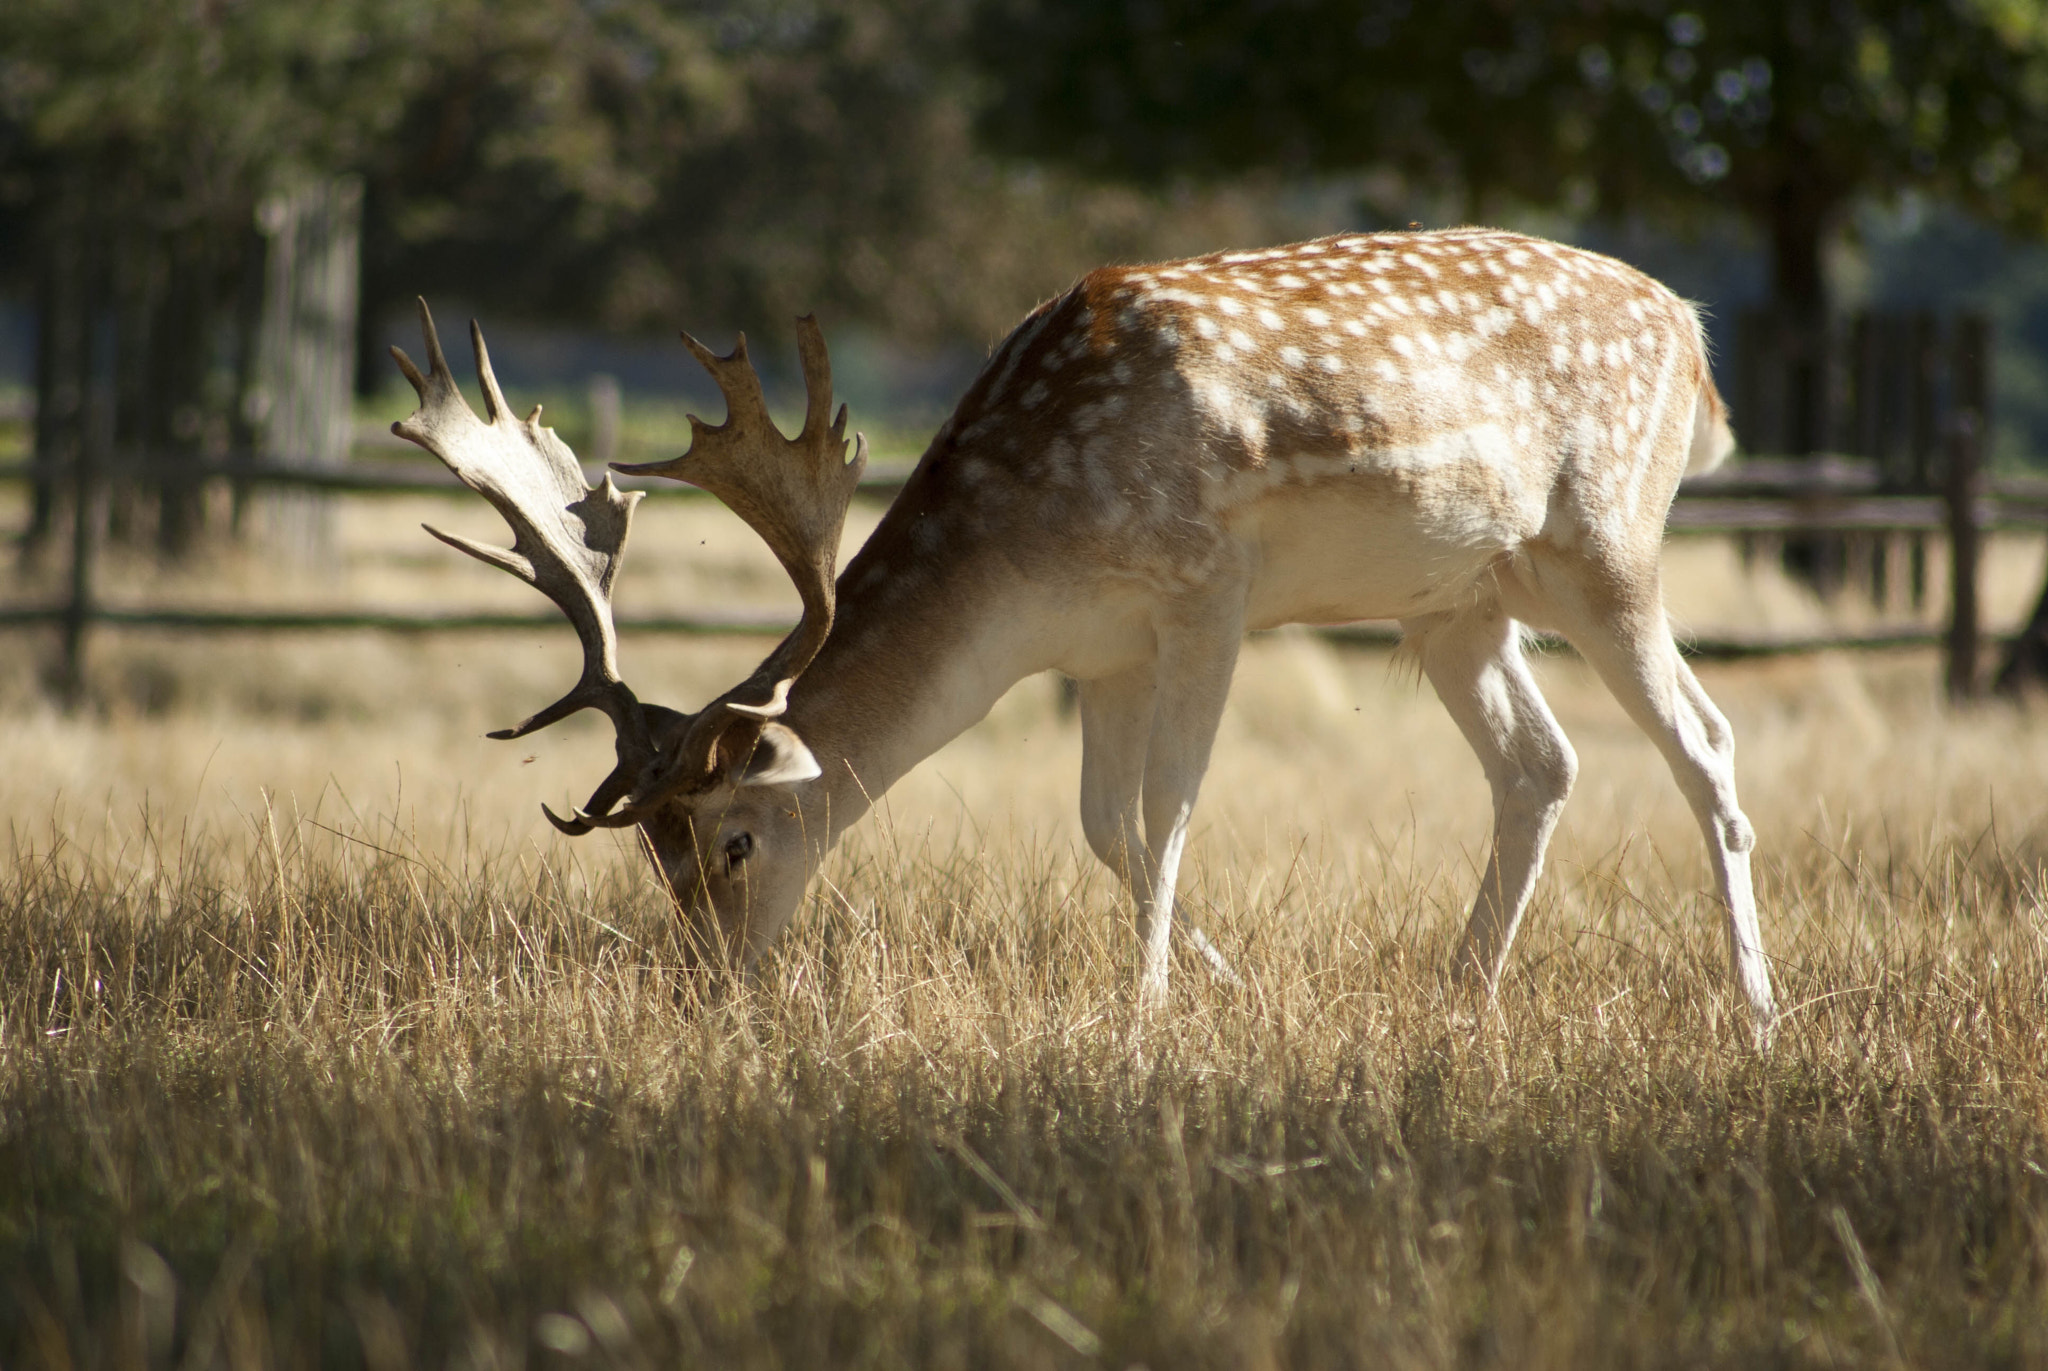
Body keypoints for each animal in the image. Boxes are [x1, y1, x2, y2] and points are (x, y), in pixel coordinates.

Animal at [395, 227, 1777, 1036]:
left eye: (735, 839)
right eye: (656, 856)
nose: (705, 991)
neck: (1032, 550)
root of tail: (1699, 341)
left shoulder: (1205, 591)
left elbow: (1167, 814)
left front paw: (1143, 1022)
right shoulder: (1103, 649)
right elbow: (1105, 828)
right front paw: (1228, 991)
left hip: (1605, 540)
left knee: (1705, 742)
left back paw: (1755, 1010)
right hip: (1457, 604)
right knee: (1540, 764)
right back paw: (1457, 997)